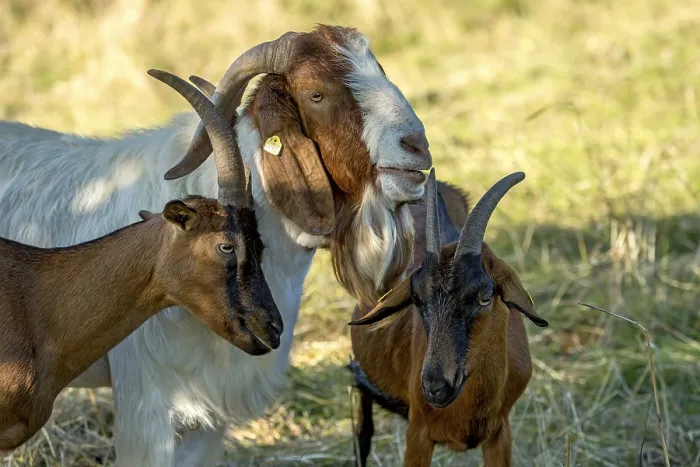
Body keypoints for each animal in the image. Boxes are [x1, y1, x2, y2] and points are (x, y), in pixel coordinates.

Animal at [349, 169, 549, 466]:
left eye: (485, 297)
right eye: (417, 299)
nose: (436, 387)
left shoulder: (500, 432)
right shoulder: (418, 434)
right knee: (363, 432)